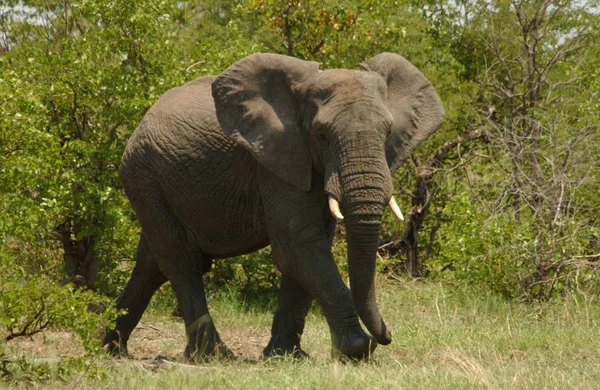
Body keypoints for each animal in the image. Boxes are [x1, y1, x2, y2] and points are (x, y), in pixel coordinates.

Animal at [103, 52, 442, 362]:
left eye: (387, 133)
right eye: (322, 136)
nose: (387, 335)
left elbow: (306, 250)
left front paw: (288, 356)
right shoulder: (275, 160)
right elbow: (298, 245)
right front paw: (357, 350)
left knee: (152, 265)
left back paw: (109, 347)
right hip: (144, 177)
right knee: (181, 262)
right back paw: (214, 356)